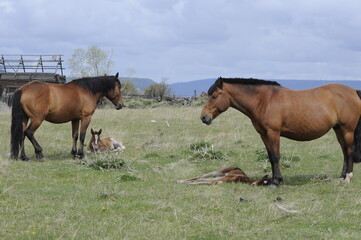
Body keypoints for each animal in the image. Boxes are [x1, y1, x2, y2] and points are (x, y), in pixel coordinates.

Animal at [200, 78, 360, 187]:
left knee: (349, 152)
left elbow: (276, 156)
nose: (203, 117)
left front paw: (276, 181)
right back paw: (341, 177)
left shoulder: (273, 133)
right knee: (345, 152)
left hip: (347, 130)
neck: (263, 101)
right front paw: (272, 179)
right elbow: (271, 157)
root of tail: (353, 92)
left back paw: (348, 177)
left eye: (214, 95)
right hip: (338, 129)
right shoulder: (264, 134)